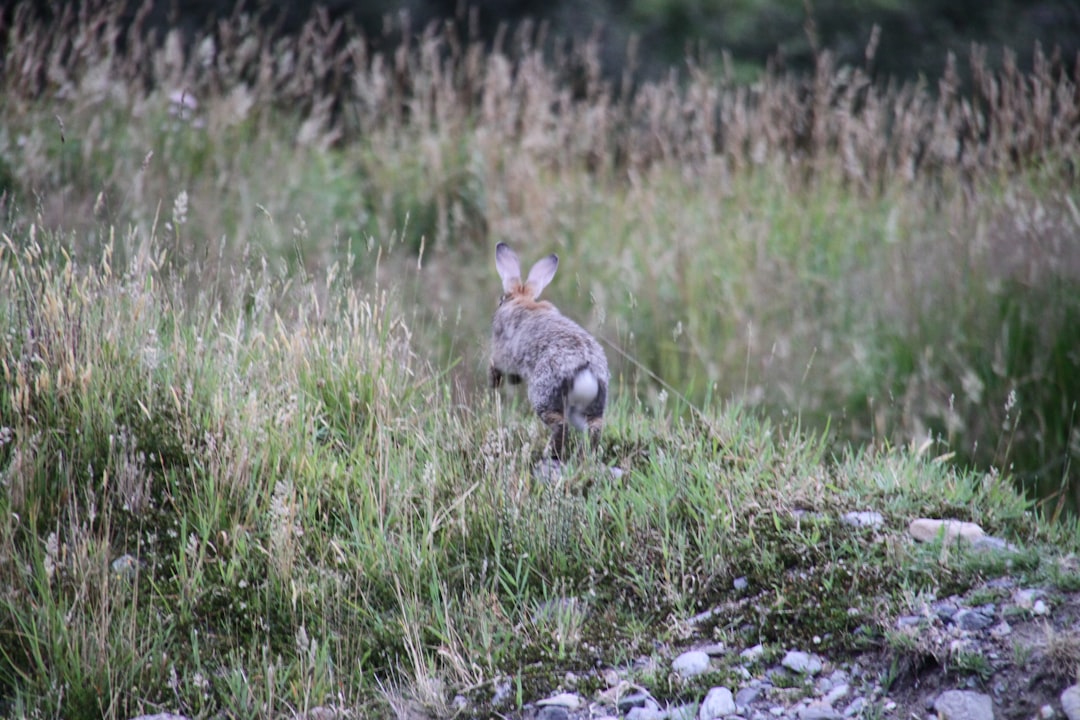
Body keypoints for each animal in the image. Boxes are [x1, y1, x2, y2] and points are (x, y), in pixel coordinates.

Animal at [490, 240, 609, 455]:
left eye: (501, 300)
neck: (523, 300)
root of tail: (585, 370)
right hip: (589, 407)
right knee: (594, 428)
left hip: (544, 395)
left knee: (560, 426)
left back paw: (548, 454)